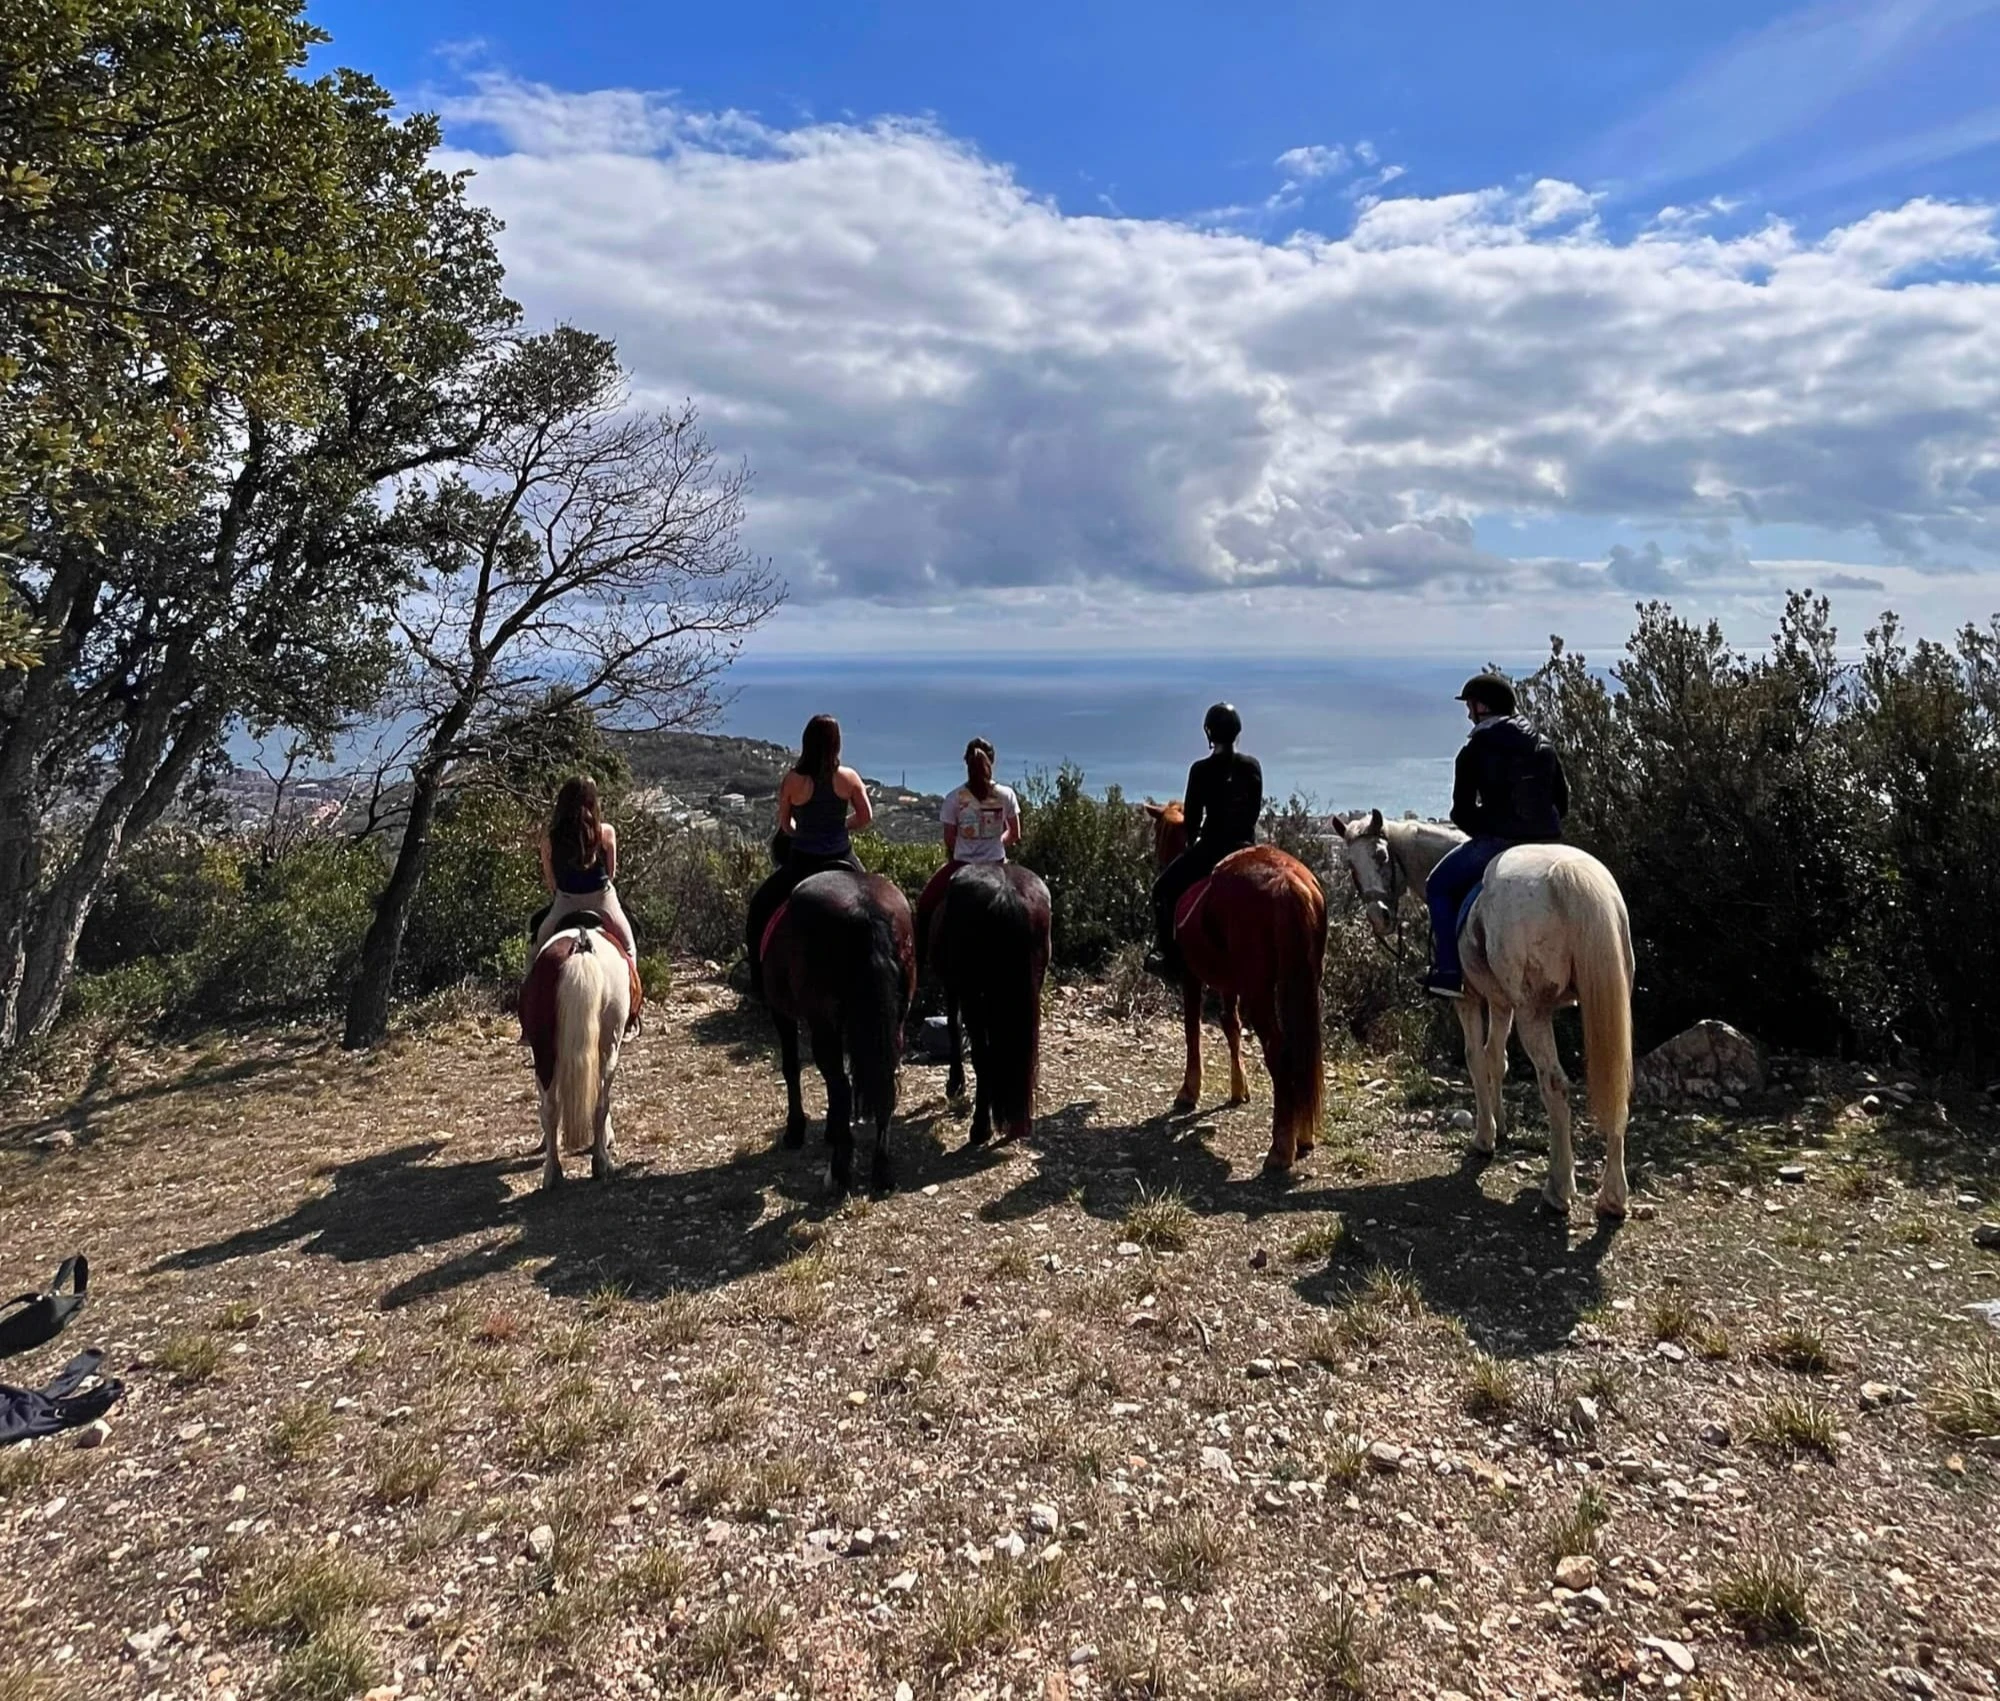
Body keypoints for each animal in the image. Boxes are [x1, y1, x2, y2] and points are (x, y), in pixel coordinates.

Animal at [516, 920, 632, 1184]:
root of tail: (580, 946)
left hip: (545, 1052)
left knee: (553, 1107)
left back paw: (553, 1172)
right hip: (606, 1047)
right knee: (598, 1103)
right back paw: (599, 1163)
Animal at [760, 860, 916, 1192]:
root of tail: (865, 911)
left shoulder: (782, 1013)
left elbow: (791, 1068)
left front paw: (796, 1130)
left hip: (823, 1022)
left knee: (840, 1084)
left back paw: (840, 1170)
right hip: (895, 1019)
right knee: (884, 1082)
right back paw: (882, 1170)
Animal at [928, 860, 1056, 1136]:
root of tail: (1006, 895)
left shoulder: (955, 988)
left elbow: (954, 1027)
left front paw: (956, 1083)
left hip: (971, 993)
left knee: (981, 1054)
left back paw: (980, 1126)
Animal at [1144, 796, 1328, 1168]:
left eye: (1158, 833)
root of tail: (1289, 883)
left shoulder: (1191, 975)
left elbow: (1192, 1029)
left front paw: (1189, 1090)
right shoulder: (1230, 982)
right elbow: (1231, 1025)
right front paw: (1239, 1089)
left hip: (1261, 991)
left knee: (1280, 1052)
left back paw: (1281, 1148)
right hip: (1303, 985)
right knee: (1302, 1054)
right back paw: (1303, 1135)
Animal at [1328, 812, 1640, 1216]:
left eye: (1381, 856)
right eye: (1351, 865)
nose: (1380, 917)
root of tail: (1572, 876)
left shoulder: (1470, 999)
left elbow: (1476, 1059)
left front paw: (1484, 1137)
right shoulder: (1500, 1001)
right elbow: (1497, 1059)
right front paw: (1501, 1124)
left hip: (1533, 1012)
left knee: (1555, 1085)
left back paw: (1558, 1189)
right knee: (1618, 1085)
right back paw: (1613, 1196)